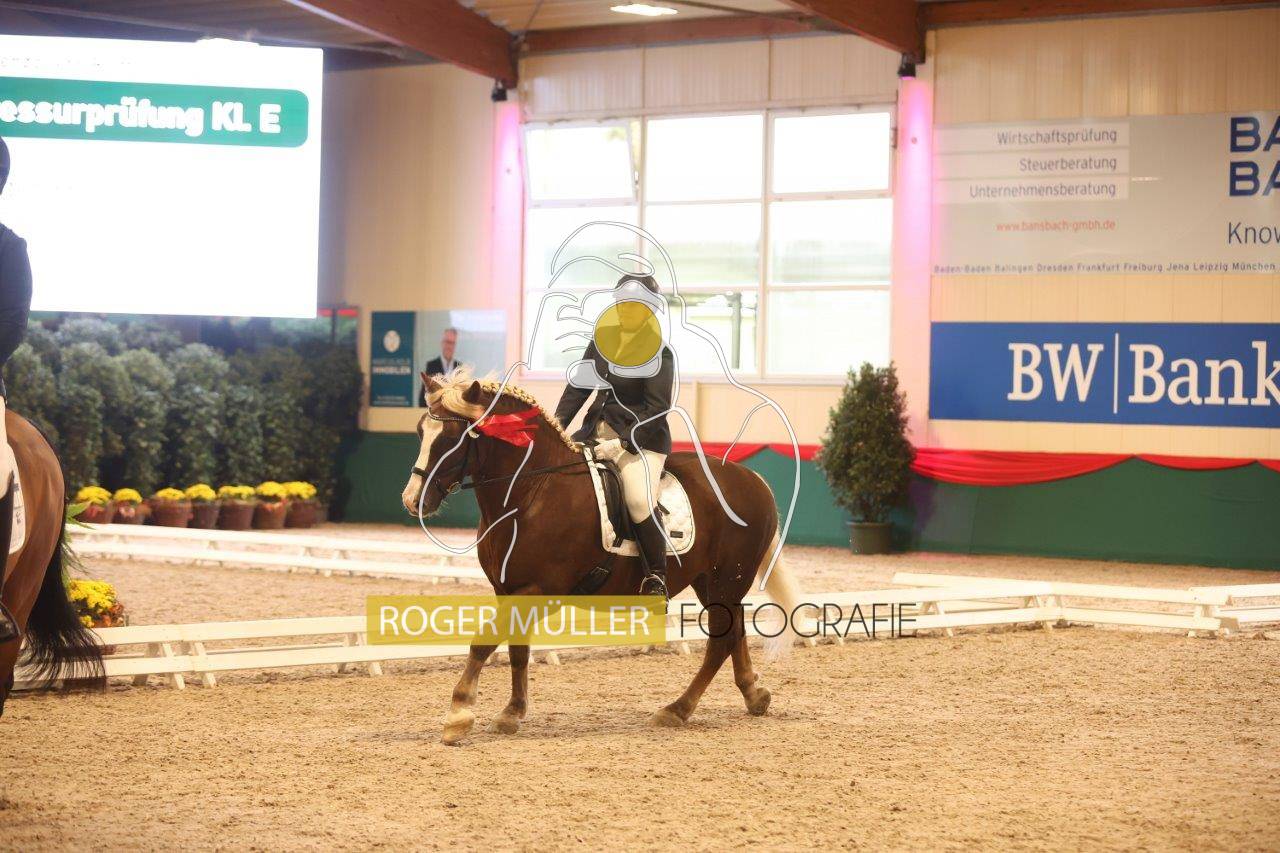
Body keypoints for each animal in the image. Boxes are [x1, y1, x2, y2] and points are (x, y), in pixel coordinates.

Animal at [401, 372, 802, 745]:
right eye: (421, 431)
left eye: (453, 439)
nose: (412, 500)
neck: (532, 492)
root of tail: (753, 478)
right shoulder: (508, 589)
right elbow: (517, 648)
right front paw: (511, 713)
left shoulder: (540, 589)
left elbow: (484, 640)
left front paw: (458, 713)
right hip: (712, 581)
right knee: (734, 631)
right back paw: (754, 694)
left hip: (727, 578)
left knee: (720, 642)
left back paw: (677, 709)